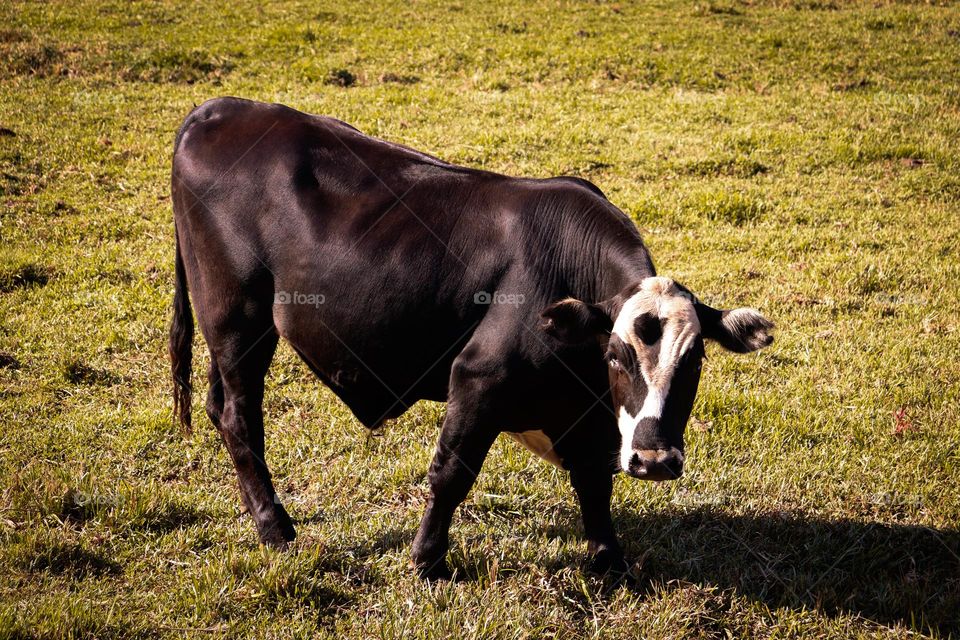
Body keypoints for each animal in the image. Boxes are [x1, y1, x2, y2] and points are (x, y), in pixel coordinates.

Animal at [169, 97, 774, 580]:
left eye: (694, 360)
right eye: (616, 355)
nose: (653, 460)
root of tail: (219, 109)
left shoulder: (588, 418)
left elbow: (594, 481)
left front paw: (610, 561)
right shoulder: (479, 378)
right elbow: (452, 471)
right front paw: (427, 560)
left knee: (218, 404)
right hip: (236, 318)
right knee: (239, 415)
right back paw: (276, 528)